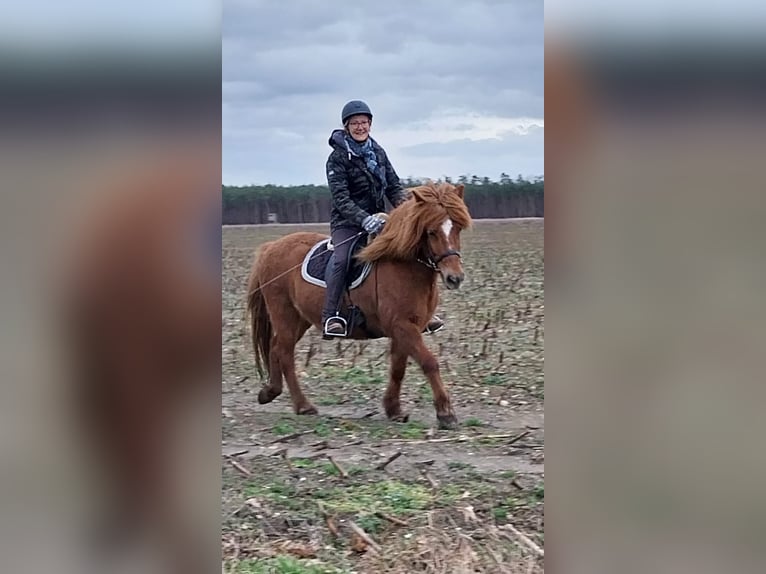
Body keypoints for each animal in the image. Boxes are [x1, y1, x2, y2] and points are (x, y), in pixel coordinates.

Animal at [249, 182, 472, 430]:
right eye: (431, 231)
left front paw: (393, 409)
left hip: (300, 319)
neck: (404, 266)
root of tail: (271, 247)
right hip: (284, 314)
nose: (455, 278)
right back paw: (303, 405)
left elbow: (398, 368)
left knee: (275, 347)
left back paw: (270, 391)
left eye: (457, 228)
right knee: (284, 352)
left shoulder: (404, 329)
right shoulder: (402, 326)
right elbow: (429, 362)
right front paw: (445, 413)